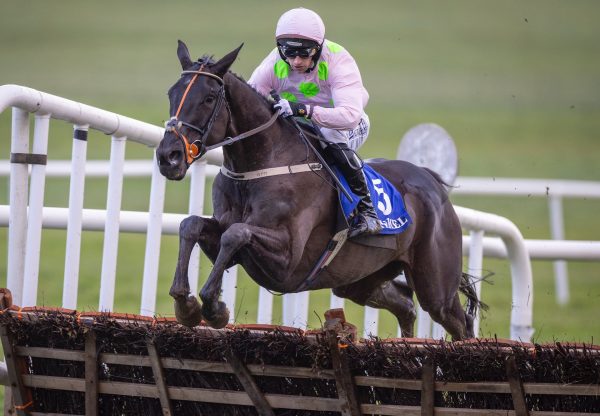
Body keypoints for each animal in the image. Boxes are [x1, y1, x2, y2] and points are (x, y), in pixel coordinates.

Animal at [157, 41, 480, 342]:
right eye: (171, 94)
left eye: (209, 98)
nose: (168, 157)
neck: (259, 166)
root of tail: (432, 182)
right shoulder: (230, 242)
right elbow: (192, 225)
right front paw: (186, 304)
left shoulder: (287, 260)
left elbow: (236, 233)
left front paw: (213, 307)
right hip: (360, 280)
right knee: (405, 304)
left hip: (436, 287)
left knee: (460, 322)